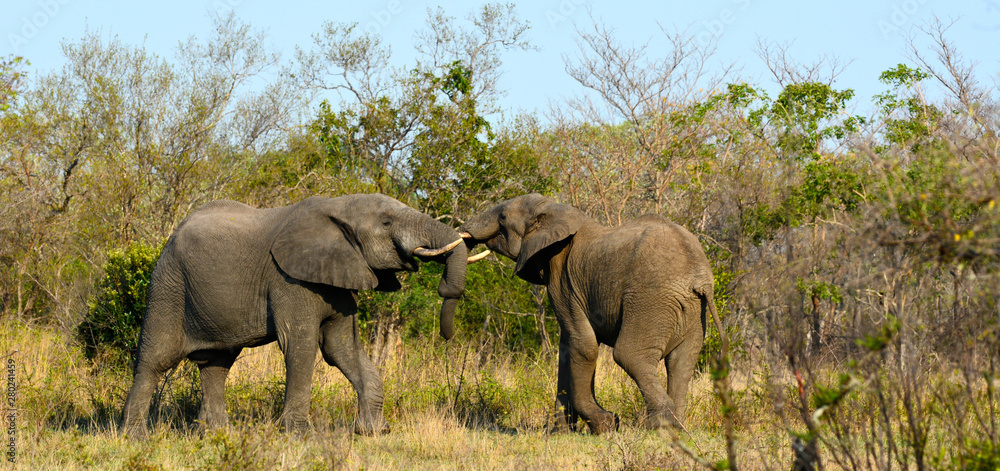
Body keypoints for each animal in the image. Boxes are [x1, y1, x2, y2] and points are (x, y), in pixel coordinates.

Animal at [120, 194, 469, 437]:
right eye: (386, 222)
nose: (447, 334)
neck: (339, 206)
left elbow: (341, 349)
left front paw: (373, 433)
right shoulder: (289, 280)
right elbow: (300, 346)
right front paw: (298, 436)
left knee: (217, 364)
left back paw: (218, 435)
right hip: (169, 285)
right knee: (156, 360)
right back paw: (133, 438)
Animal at [459, 194, 717, 434]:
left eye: (502, 217)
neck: (553, 209)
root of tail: (699, 276)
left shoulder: (563, 281)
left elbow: (584, 345)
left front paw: (606, 424)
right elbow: (567, 348)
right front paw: (560, 433)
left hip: (651, 299)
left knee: (630, 355)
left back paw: (659, 426)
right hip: (693, 311)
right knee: (681, 362)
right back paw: (678, 427)